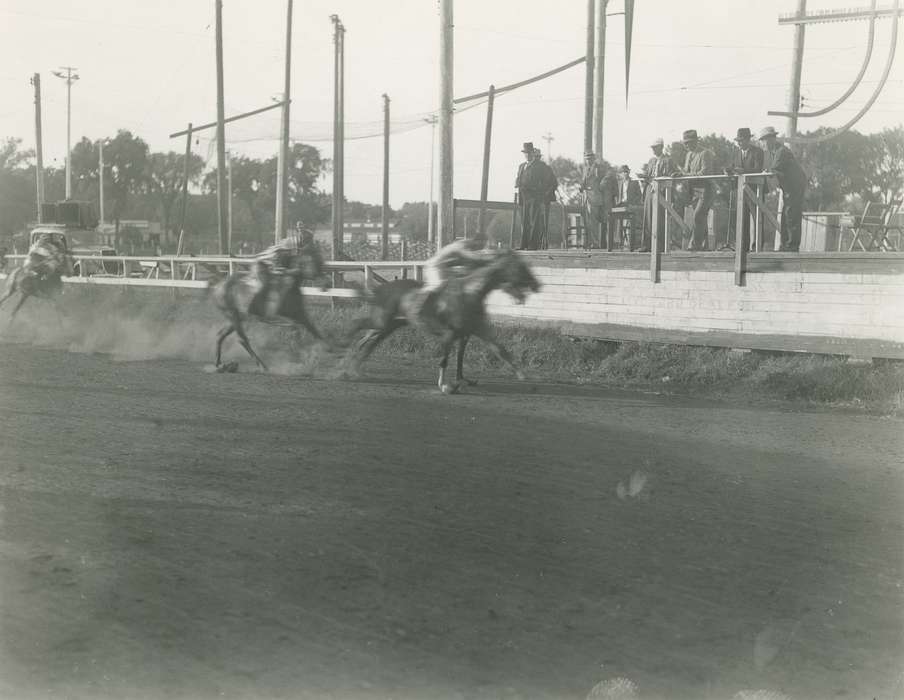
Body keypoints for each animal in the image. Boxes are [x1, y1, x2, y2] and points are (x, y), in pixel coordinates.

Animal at [211, 241, 332, 372]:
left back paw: (219, 364)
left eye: (321, 261)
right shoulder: (272, 317)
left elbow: (315, 332)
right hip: (233, 315)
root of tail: (219, 285)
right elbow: (295, 327)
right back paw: (262, 366)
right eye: (313, 262)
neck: (289, 286)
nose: (327, 283)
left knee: (221, 335)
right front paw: (300, 353)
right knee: (243, 340)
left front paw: (330, 349)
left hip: (236, 318)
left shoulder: (300, 315)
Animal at [342, 247, 540, 394]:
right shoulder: (449, 334)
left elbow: (499, 350)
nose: (537, 284)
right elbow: (444, 360)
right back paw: (344, 355)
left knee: (367, 342)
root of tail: (381, 288)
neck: (470, 294)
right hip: (381, 321)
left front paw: (525, 377)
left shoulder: (475, 331)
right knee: (356, 326)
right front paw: (445, 386)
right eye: (520, 267)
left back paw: (353, 370)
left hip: (389, 325)